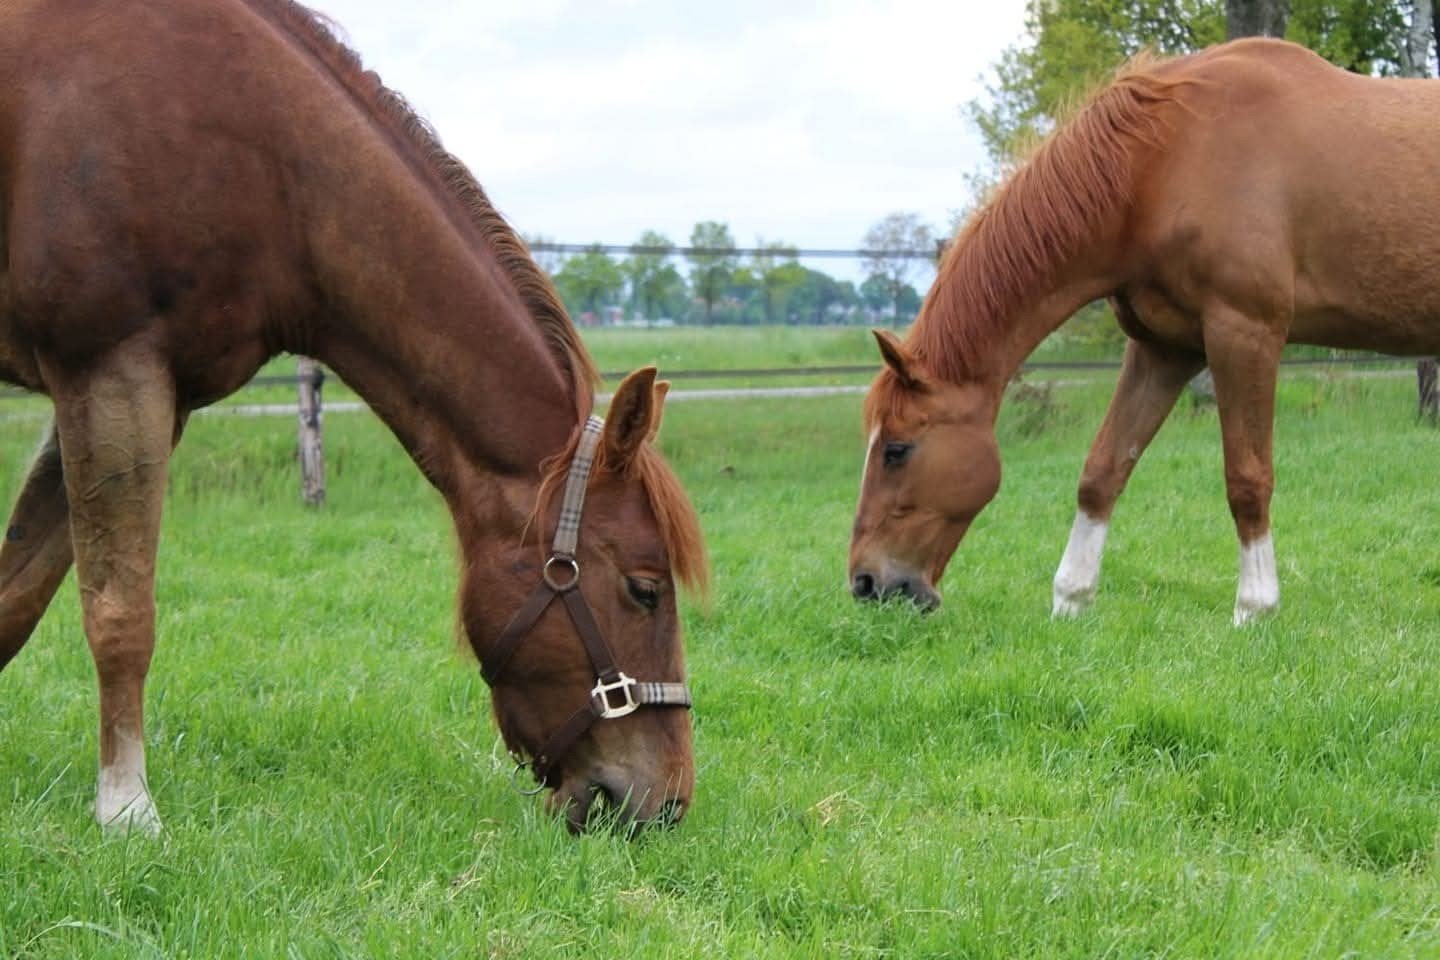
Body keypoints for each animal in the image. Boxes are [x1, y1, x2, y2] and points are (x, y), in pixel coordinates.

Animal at [0, 0, 707, 835]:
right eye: (644, 589)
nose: (666, 801)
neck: (261, 157)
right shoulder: (111, 373)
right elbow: (120, 613)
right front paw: (126, 808)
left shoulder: (135, 397)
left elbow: (17, 597)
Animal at [850, 38, 1440, 625]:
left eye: (896, 449)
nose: (865, 582)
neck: (1164, 162)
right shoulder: (1164, 349)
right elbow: (1103, 470)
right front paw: (1071, 599)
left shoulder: (1244, 335)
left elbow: (1247, 479)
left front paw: (1255, 608)